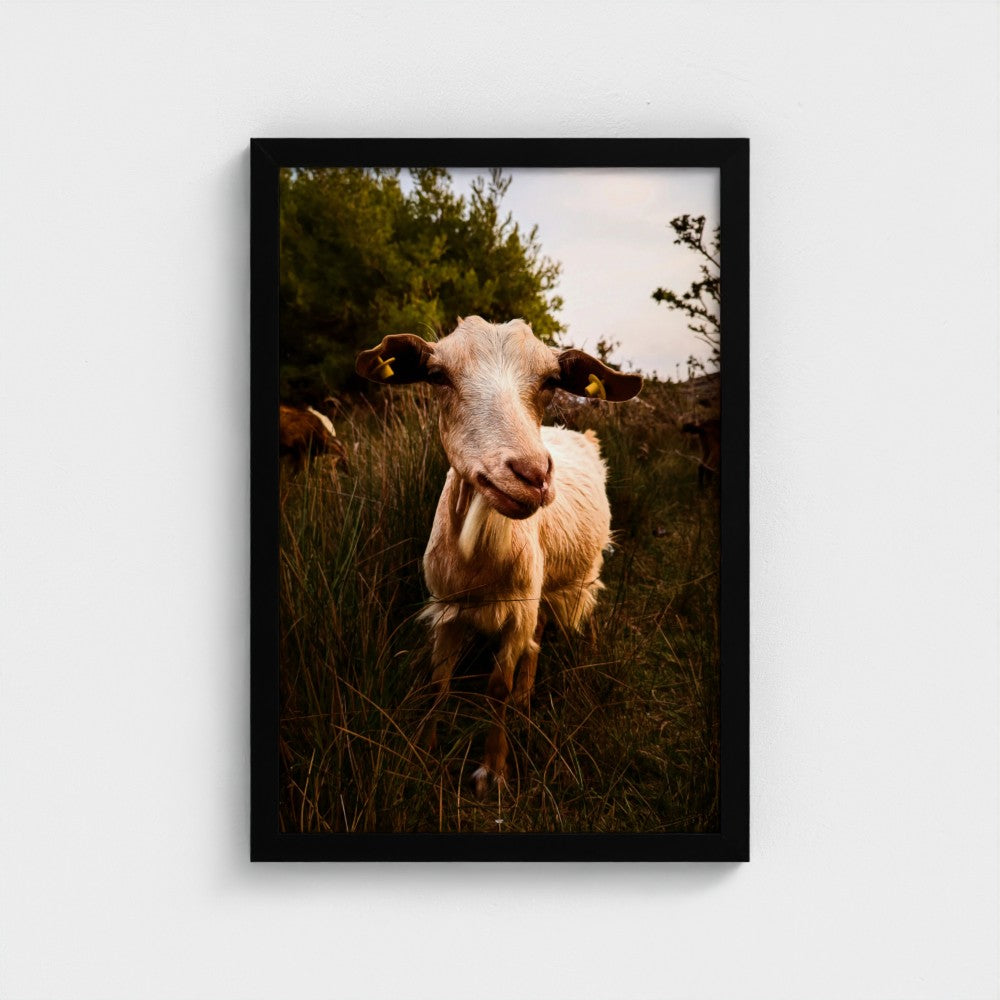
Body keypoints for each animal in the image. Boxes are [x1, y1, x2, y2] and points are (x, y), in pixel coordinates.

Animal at [357, 316, 642, 795]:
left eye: (550, 382)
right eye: (438, 376)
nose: (532, 475)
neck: (479, 564)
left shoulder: (517, 610)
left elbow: (497, 687)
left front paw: (492, 770)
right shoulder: (447, 607)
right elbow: (437, 684)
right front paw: (423, 754)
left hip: (575, 578)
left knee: (560, 624)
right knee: (538, 635)